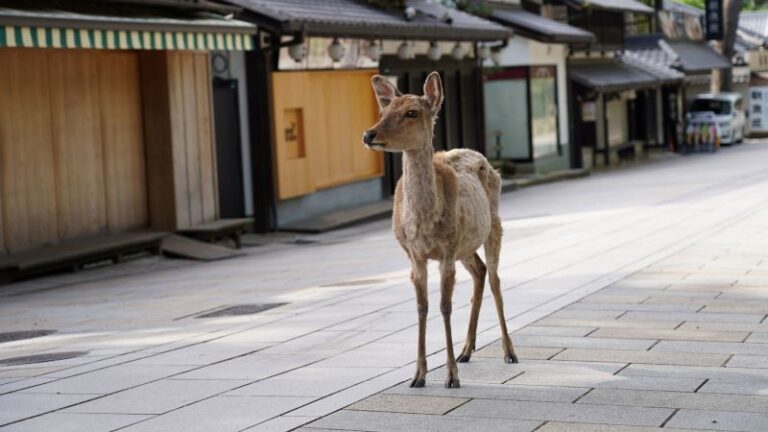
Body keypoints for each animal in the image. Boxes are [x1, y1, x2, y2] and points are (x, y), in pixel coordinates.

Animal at [362, 72, 517, 389]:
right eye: (384, 111)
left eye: (412, 112)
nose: (368, 135)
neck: (422, 223)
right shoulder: (414, 255)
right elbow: (422, 307)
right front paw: (418, 376)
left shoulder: (446, 252)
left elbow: (445, 306)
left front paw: (451, 377)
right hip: (465, 245)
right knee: (480, 271)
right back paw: (466, 350)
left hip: (492, 227)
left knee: (495, 278)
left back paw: (509, 352)